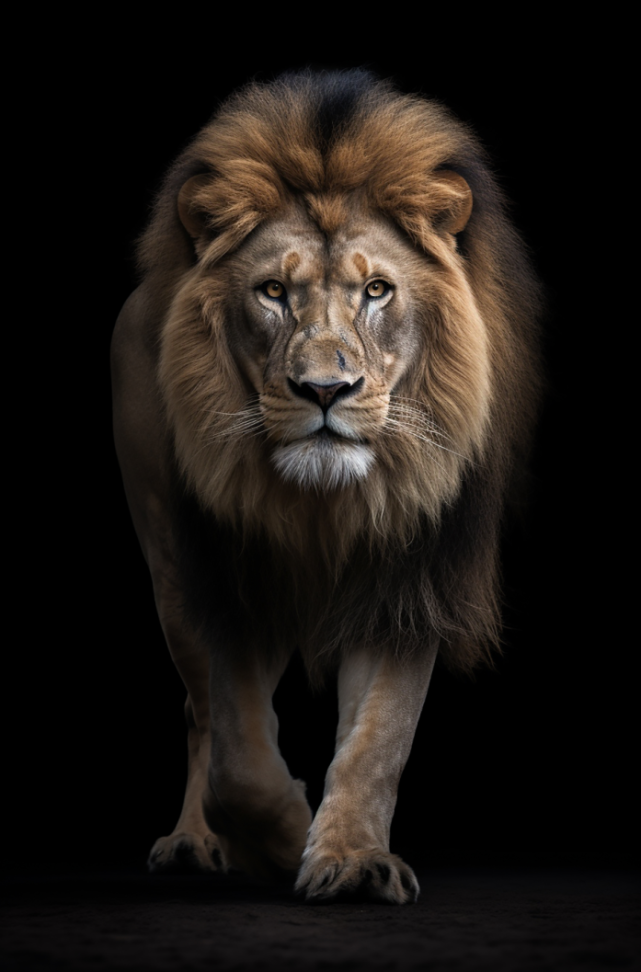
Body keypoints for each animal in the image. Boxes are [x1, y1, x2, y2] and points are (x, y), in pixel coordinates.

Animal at [111, 69, 542, 903]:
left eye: (376, 290)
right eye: (272, 291)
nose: (323, 390)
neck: (323, 509)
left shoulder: (407, 580)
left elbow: (377, 740)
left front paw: (349, 858)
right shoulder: (227, 578)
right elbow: (239, 762)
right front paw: (280, 842)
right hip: (169, 574)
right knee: (198, 711)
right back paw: (194, 842)